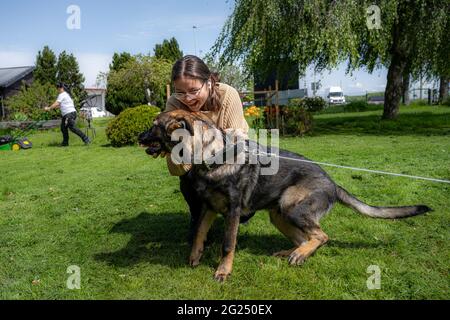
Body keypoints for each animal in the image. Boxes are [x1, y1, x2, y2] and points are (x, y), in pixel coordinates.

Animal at [138, 110, 432, 282]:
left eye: (155, 126)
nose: (138, 137)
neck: (212, 156)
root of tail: (332, 182)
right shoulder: (208, 208)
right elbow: (199, 233)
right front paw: (194, 256)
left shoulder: (232, 212)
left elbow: (227, 244)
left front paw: (223, 271)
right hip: (279, 215)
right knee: (307, 237)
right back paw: (293, 252)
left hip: (293, 207)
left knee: (321, 236)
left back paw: (299, 255)